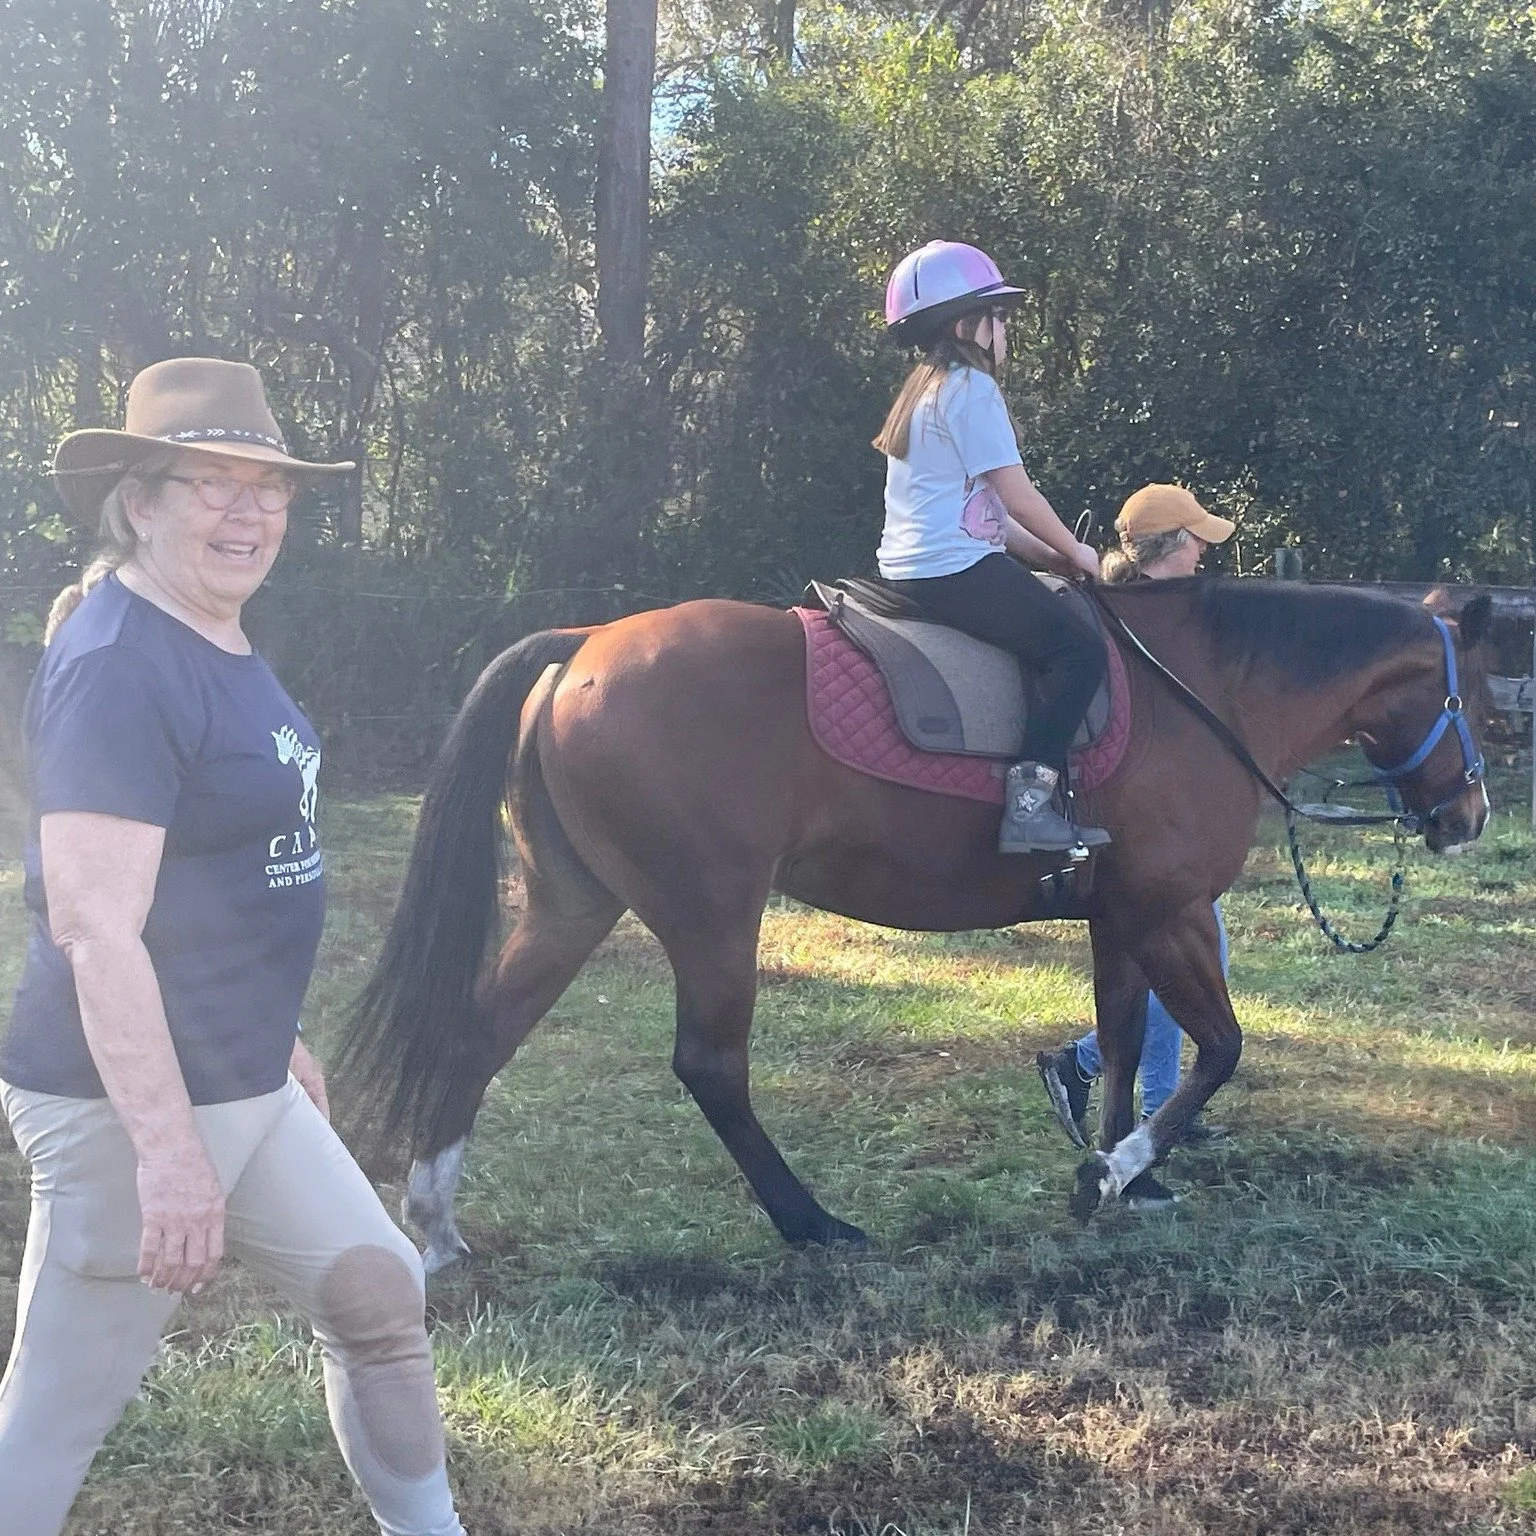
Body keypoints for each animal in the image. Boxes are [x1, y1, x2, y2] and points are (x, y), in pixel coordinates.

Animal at [340, 579, 1492, 1271]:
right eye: (1477, 690)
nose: (1470, 815)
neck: (1203, 695)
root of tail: (585, 644)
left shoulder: (1120, 915)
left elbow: (1125, 1041)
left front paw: (1128, 1172)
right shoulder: (1168, 912)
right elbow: (1219, 1049)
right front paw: (1113, 1170)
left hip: (575, 902)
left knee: (479, 1034)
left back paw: (434, 1225)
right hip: (711, 916)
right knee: (710, 1067)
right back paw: (812, 1223)